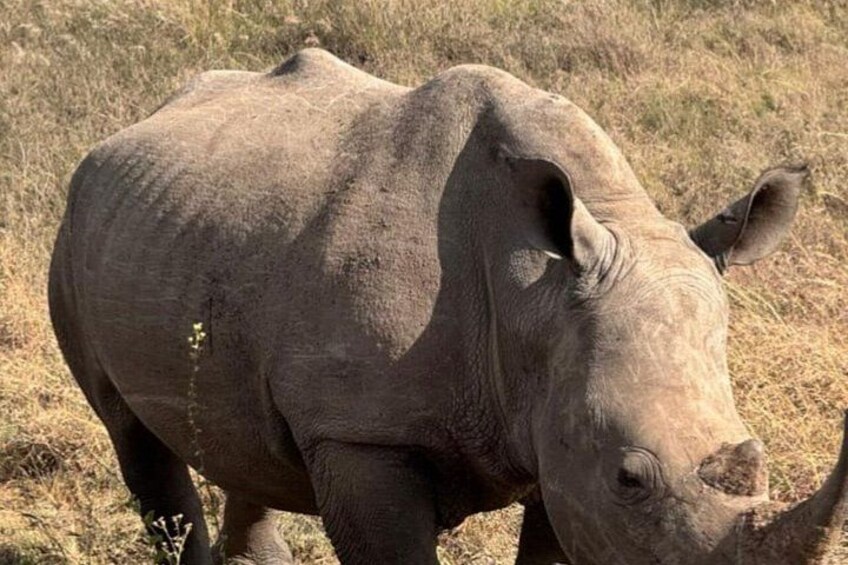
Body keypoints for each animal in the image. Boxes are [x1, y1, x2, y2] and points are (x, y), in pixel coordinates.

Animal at [48, 48, 846, 564]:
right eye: (631, 478)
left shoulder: (556, 437)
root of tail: (137, 123)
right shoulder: (360, 432)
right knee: (132, 434)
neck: (532, 291)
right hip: (77, 227)